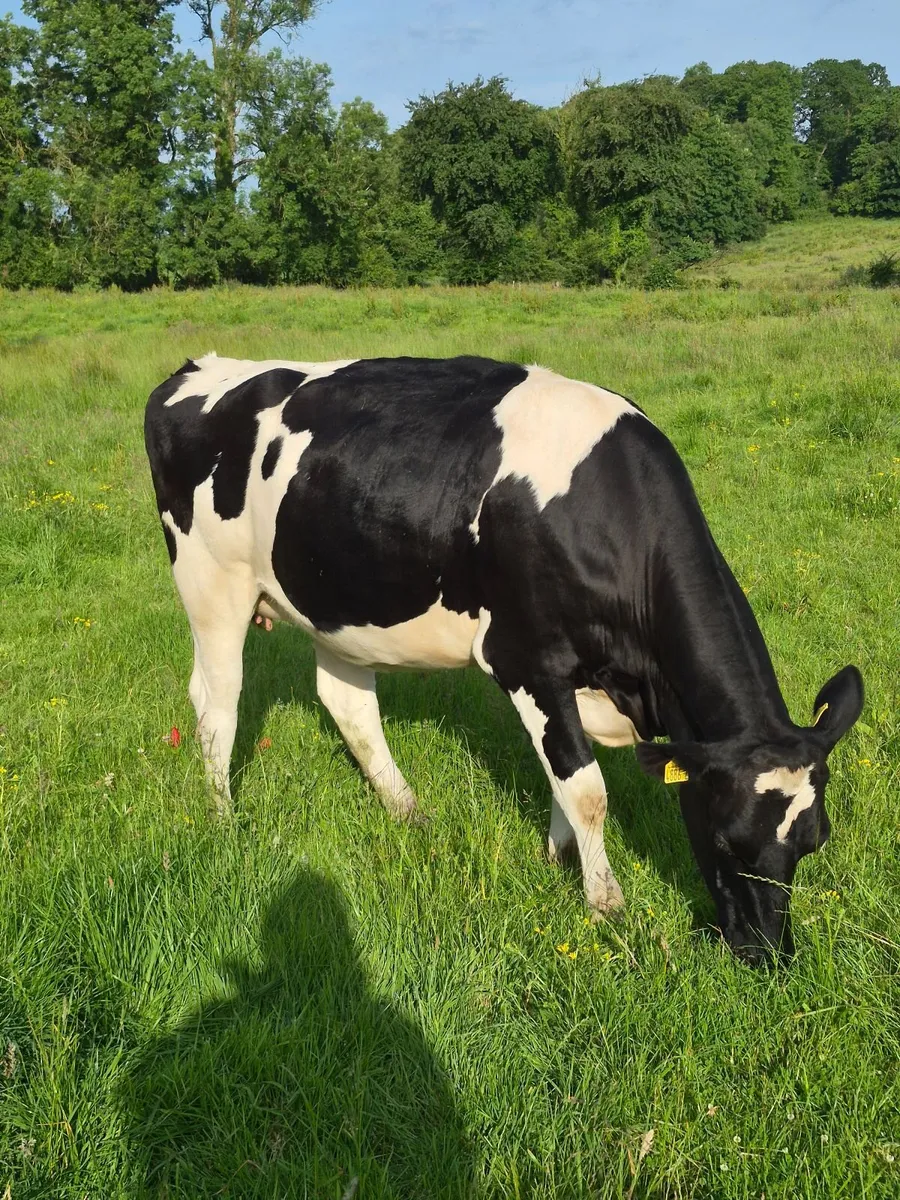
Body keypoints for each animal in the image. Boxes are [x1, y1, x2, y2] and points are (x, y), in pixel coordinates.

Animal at [145, 353, 863, 965]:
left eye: (813, 842)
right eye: (722, 839)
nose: (766, 954)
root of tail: (198, 369)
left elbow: (562, 774)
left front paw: (557, 856)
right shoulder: (526, 658)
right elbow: (587, 787)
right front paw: (605, 904)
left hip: (340, 603)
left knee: (347, 705)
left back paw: (410, 812)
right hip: (212, 586)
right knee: (217, 705)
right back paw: (225, 821)